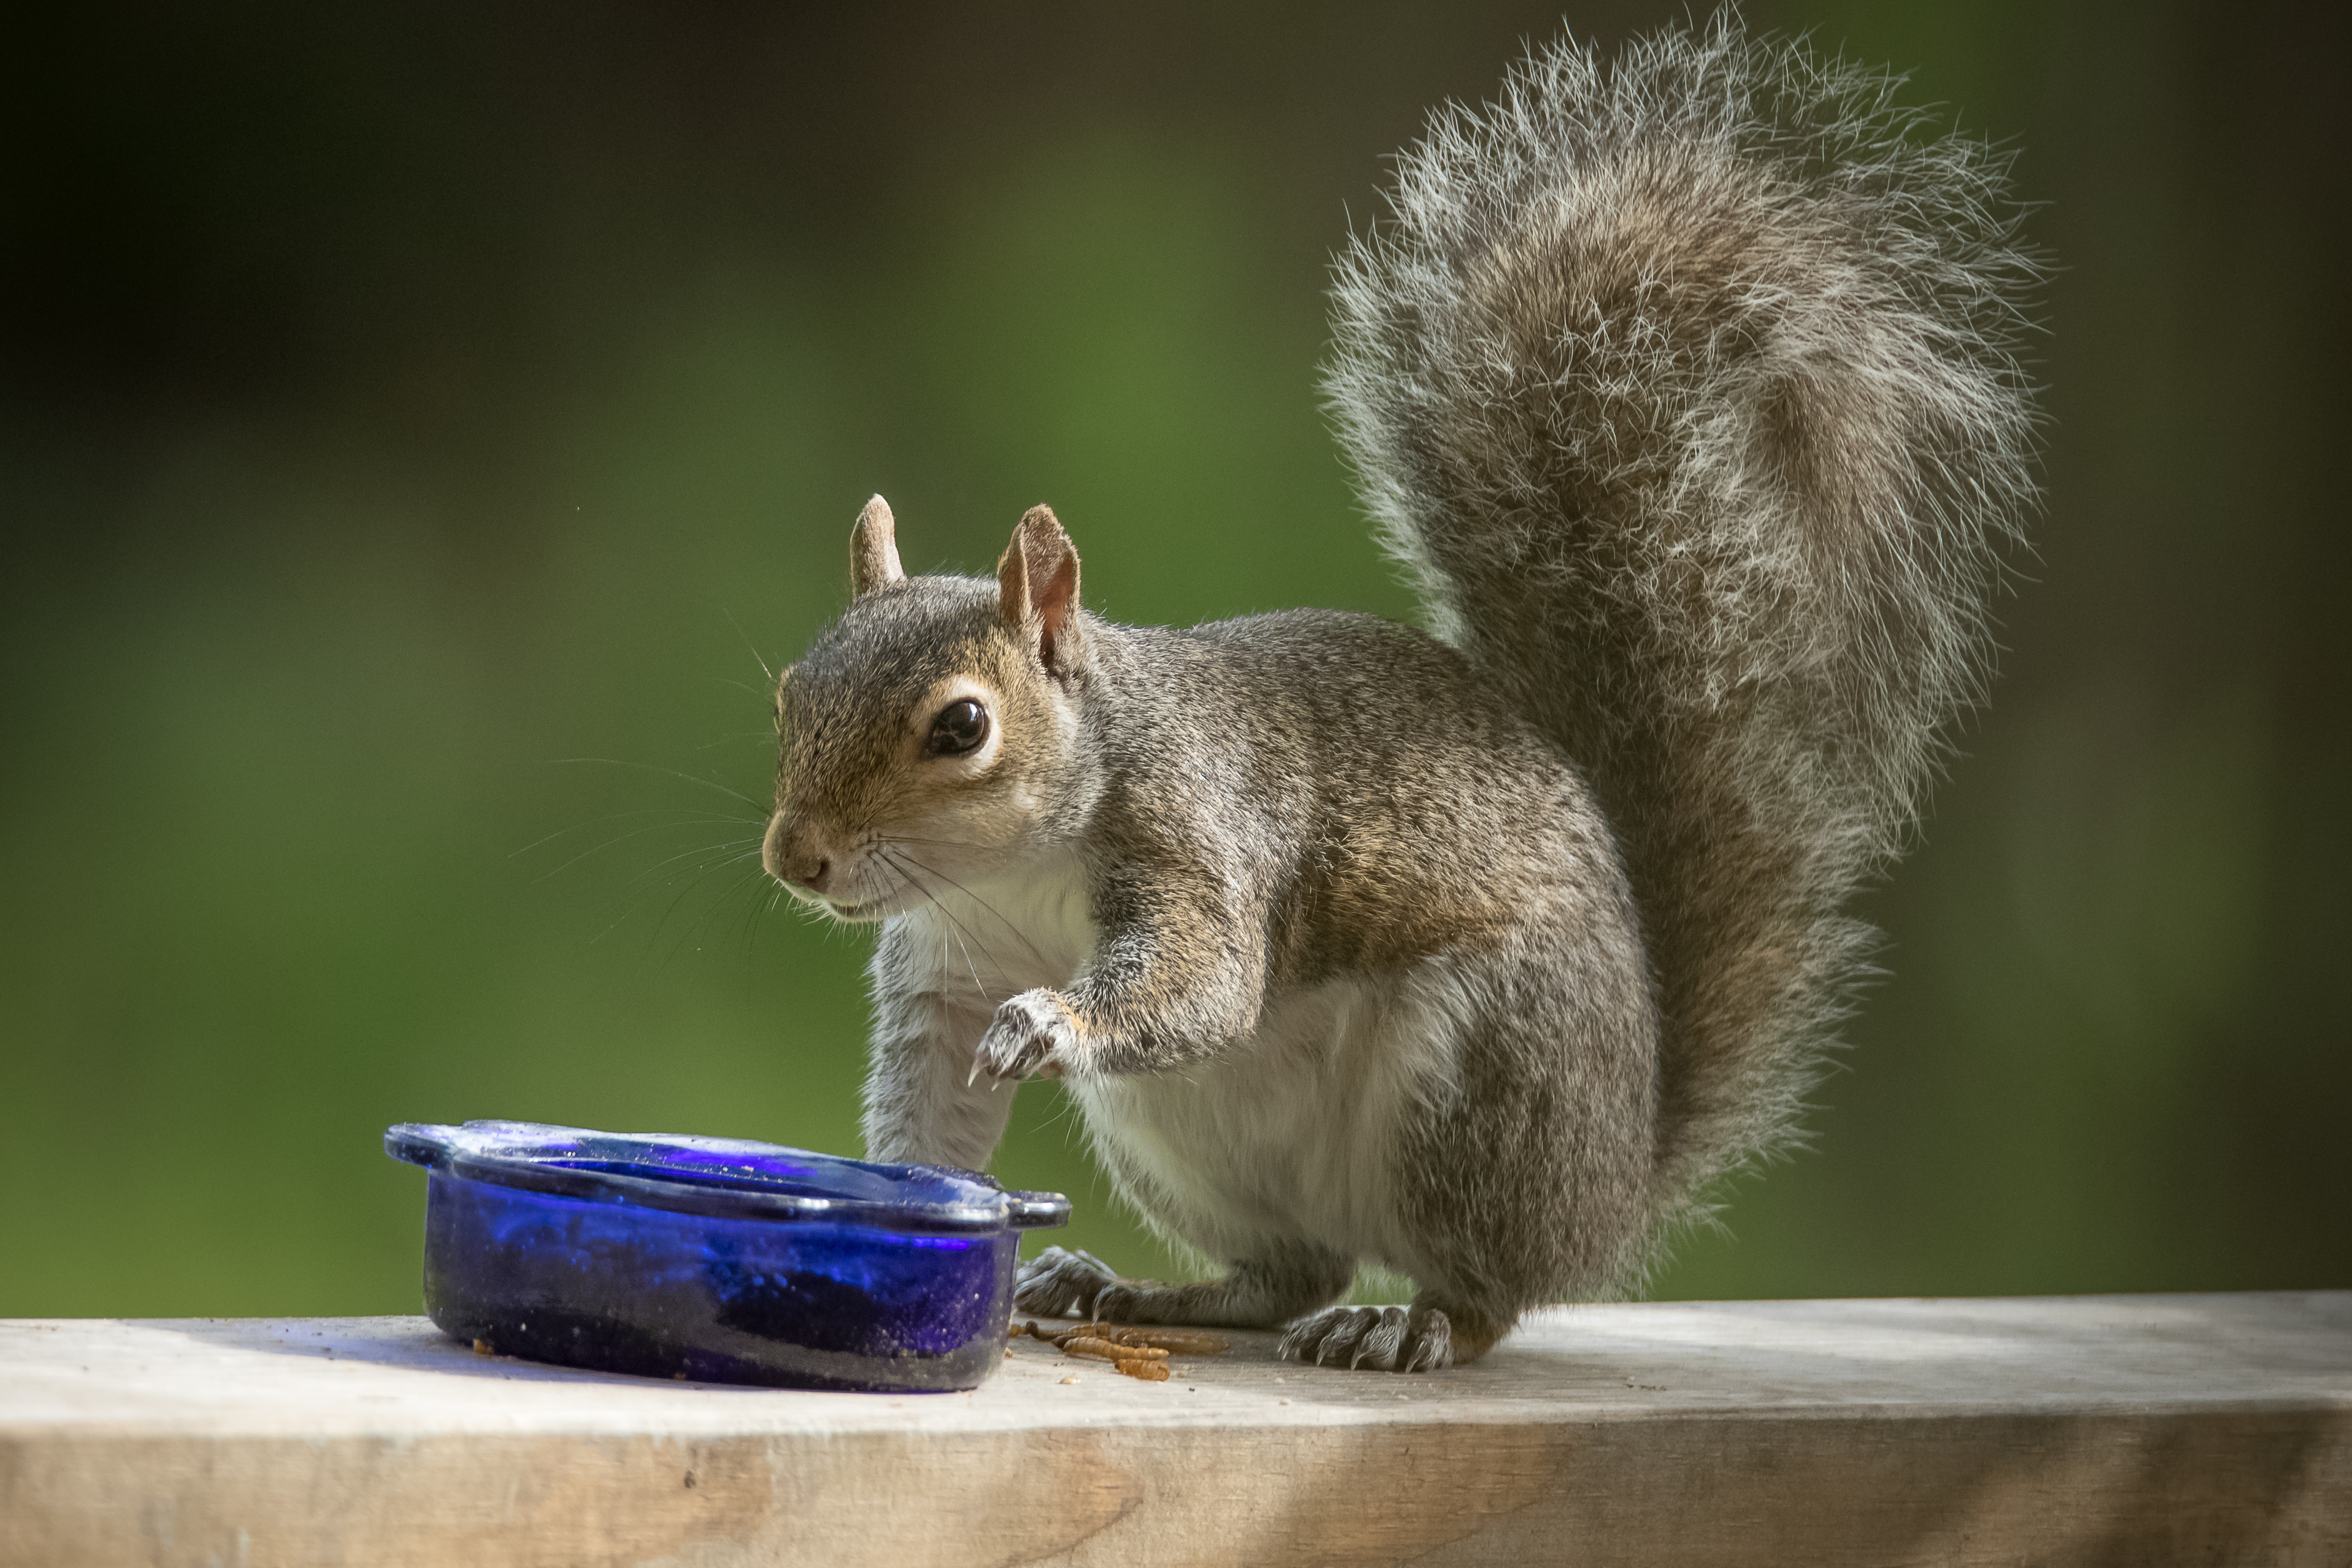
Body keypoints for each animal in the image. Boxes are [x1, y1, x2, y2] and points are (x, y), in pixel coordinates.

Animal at [757, 12, 2041, 1363]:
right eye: (792, 693)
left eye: (962, 725)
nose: (797, 855)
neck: (1007, 871)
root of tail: (1614, 1179)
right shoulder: (943, 970)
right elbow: (930, 1106)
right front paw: (898, 1191)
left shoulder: (1198, 840)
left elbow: (1203, 979)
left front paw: (1050, 1023)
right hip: (1180, 1135)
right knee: (1289, 1270)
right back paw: (1140, 1289)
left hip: (1478, 1084)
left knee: (1476, 1289)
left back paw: (1407, 1322)